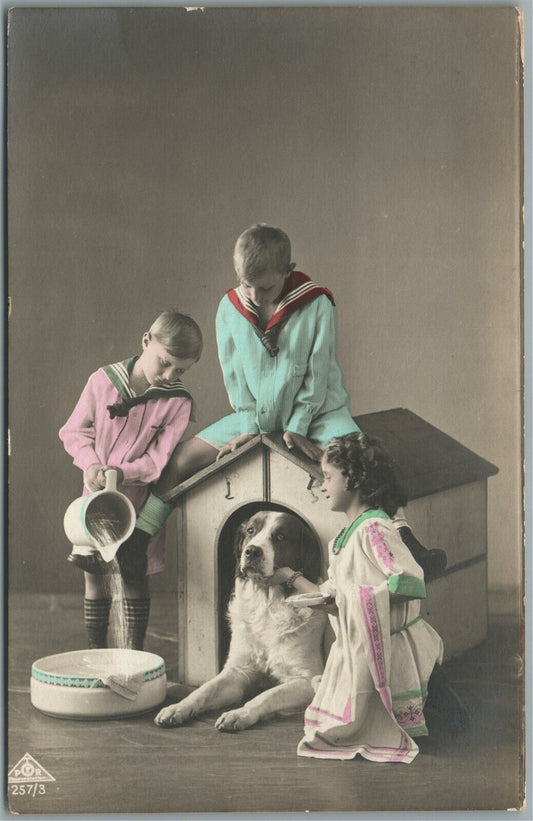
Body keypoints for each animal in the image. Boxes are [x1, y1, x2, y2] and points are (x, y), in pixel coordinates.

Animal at [154, 512, 326, 732]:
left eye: (281, 536)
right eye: (251, 531)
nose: (252, 551)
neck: (266, 603)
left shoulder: (305, 679)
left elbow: (267, 695)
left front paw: (239, 714)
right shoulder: (237, 671)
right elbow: (205, 689)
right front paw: (177, 707)